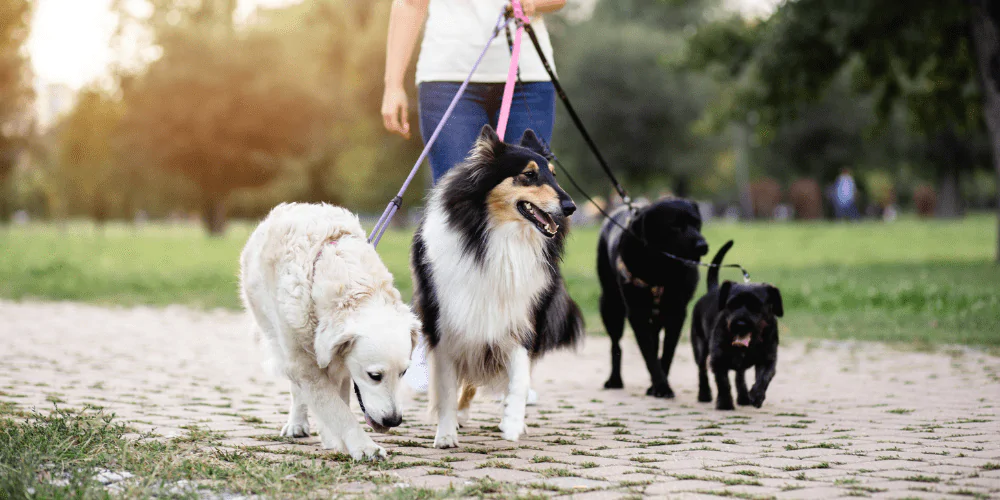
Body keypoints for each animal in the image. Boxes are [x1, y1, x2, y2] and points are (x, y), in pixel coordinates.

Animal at [239, 203, 418, 460]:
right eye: (375, 376)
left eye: (404, 372)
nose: (393, 421)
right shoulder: (303, 364)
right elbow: (336, 408)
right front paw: (365, 447)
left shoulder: (338, 362)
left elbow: (338, 401)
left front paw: (337, 440)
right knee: (297, 389)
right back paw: (297, 424)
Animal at [596, 199, 708, 398]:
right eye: (675, 226)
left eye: (697, 223)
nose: (702, 245)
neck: (660, 268)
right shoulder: (636, 314)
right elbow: (648, 354)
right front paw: (661, 386)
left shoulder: (677, 313)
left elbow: (667, 352)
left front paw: (659, 385)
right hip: (610, 306)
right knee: (616, 345)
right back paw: (615, 380)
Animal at [692, 241, 784, 410]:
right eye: (732, 304)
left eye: (756, 306)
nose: (740, 323)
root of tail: (713, 289)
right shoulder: (718, 359)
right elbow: (723, 382)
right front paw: (725, 403)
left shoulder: (768, 359)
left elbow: (764, 378)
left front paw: (756, 396)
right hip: (700, 348)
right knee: (702, 371)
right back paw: (704, 394)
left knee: (739, 376)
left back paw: (743, 397)